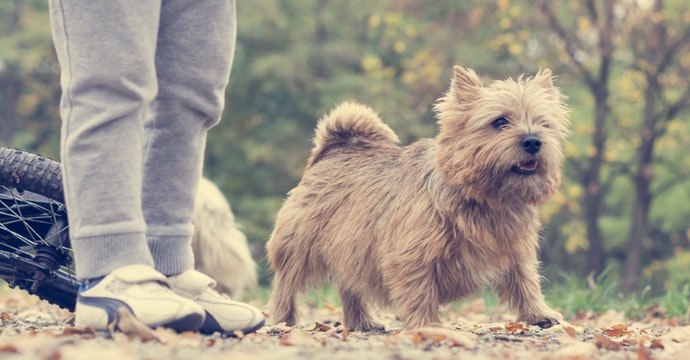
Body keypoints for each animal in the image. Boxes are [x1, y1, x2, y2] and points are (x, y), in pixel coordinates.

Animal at [266, 64, 568, 330]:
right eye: (500, 122)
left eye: (544, 124)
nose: (533, 141)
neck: (487, 198)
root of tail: (334, 150)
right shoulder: (412, 254)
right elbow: (419, 289)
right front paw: (426, 324)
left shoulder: (515, 249)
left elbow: (526, 281)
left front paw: (540, 314)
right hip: (299, 246)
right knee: (286, 284)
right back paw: (282, 320)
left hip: (350, 249)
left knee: (349, 287)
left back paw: (362, 321)